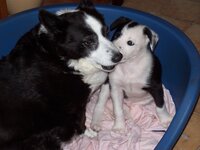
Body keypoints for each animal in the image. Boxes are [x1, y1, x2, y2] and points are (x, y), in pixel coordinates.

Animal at [0, 0, 122, 149]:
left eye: (106, 31)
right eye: (88, 42)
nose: (119, 57)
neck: (60, 57)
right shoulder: (75, 105)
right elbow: (81, 120)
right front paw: (87, 132)